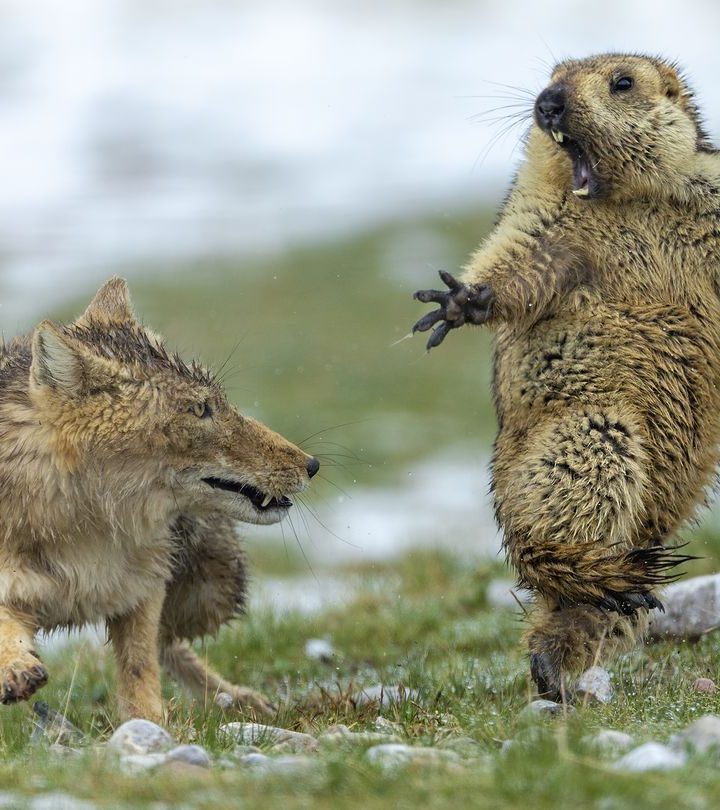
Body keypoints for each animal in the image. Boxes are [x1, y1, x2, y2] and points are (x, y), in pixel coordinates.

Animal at [0, 277, 319, 721]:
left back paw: (239, 698)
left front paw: (148, 721)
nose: (312, 464)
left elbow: (140, 661)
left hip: (213, 588)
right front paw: (15, 666)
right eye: (200, 409)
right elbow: (7, 629)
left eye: (217, 402)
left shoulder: (143, 586)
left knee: (171, 645)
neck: (83, 533)